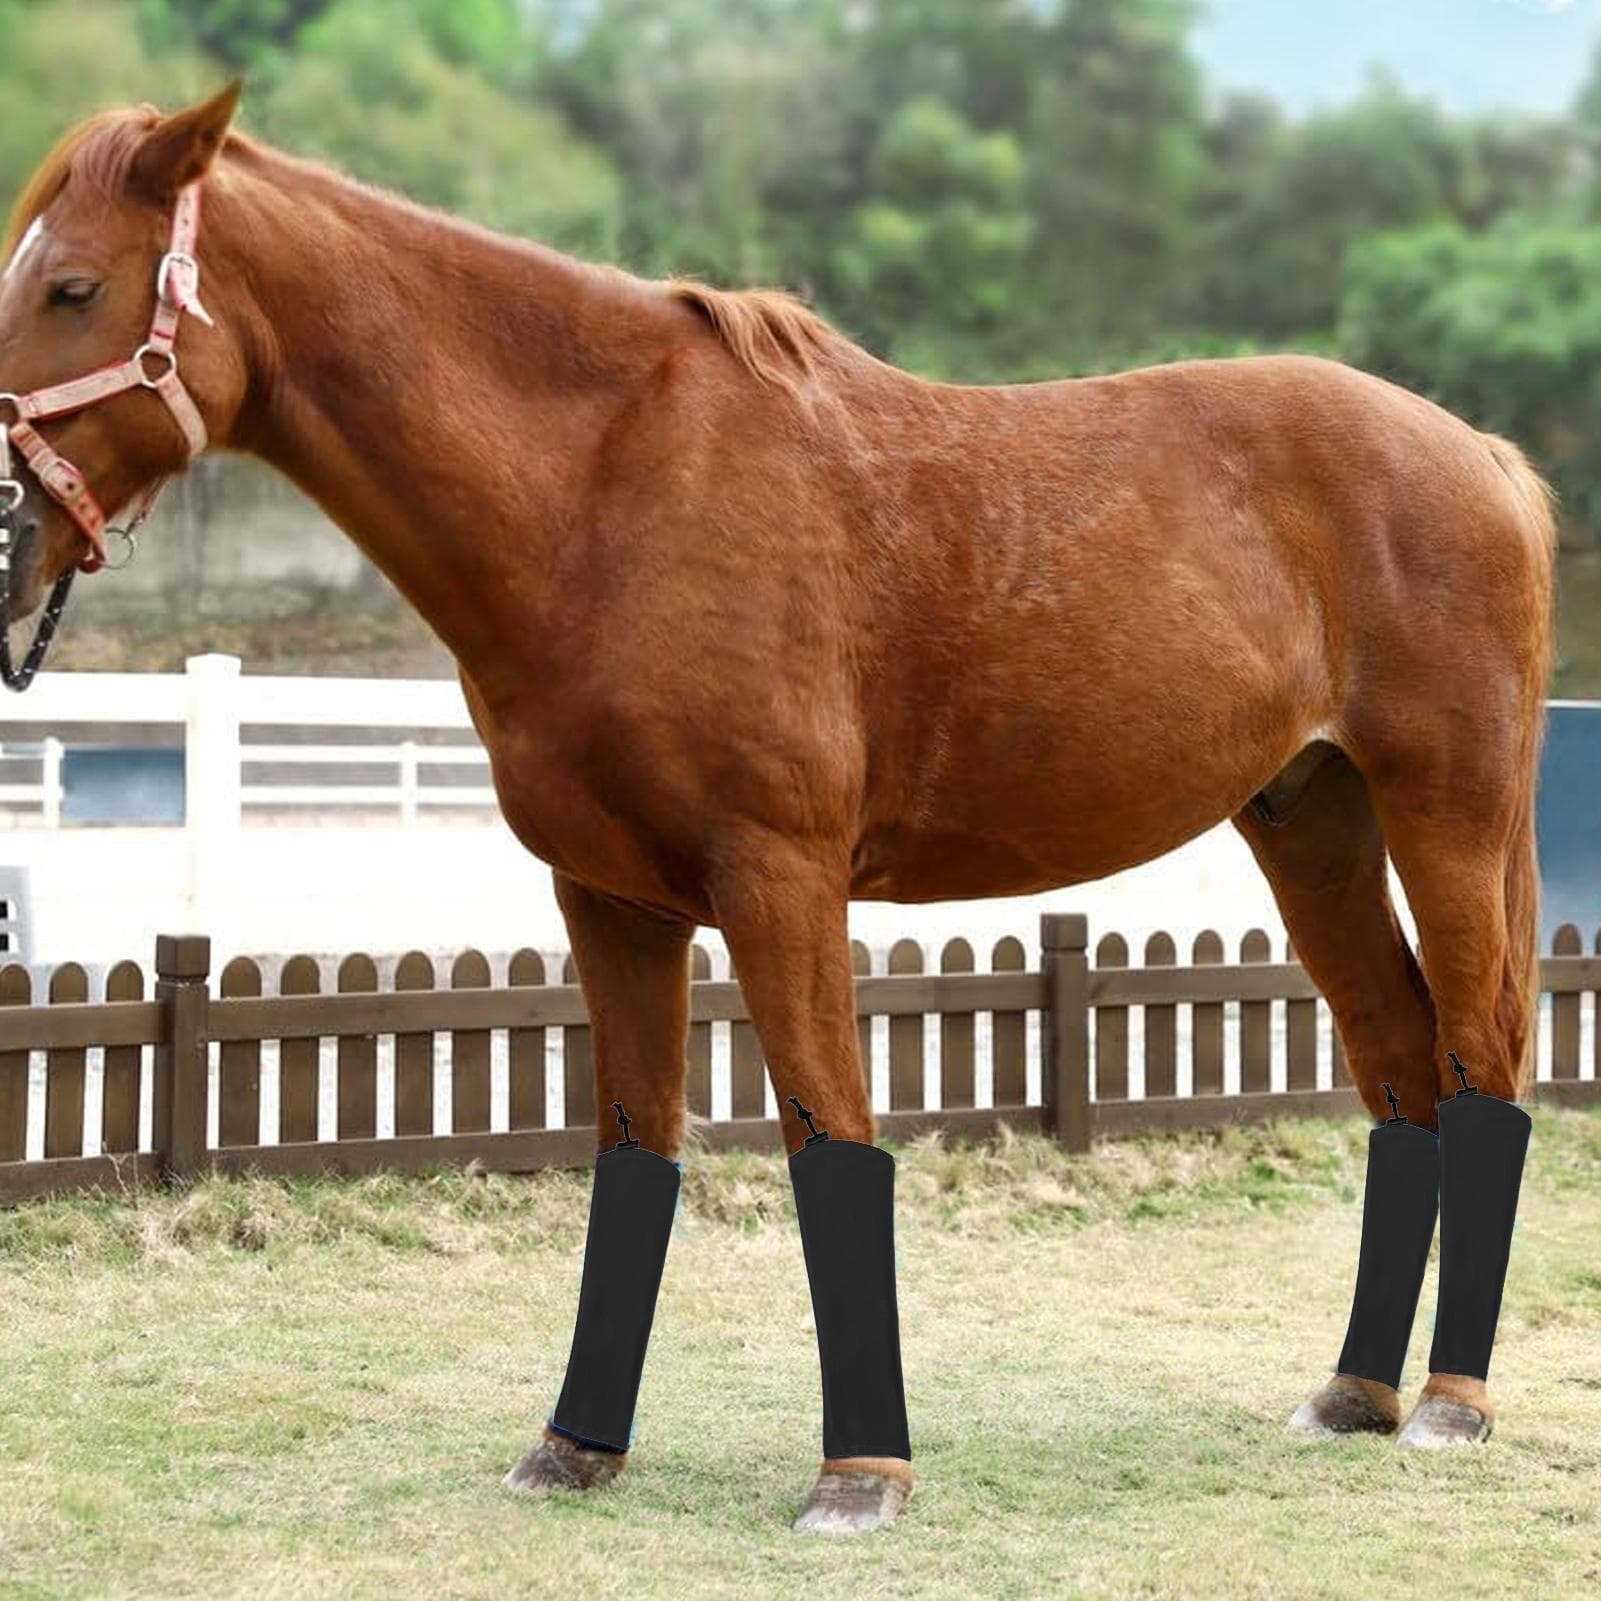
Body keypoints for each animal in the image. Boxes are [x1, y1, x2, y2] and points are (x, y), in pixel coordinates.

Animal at [0, 87, 1555, 1532]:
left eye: (71, 286)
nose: (6, 534)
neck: (605, 499)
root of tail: (1481, 454)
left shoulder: (780, 880)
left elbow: (832, 1143)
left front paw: (860, 1474)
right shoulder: (609, 900)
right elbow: (633, 1157)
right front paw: (575, 1446)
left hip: (1447, 816)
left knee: (1481, 1063)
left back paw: (1451, 1405)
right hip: (1310, 825)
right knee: (1400, 1072)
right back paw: (1354, 1392)